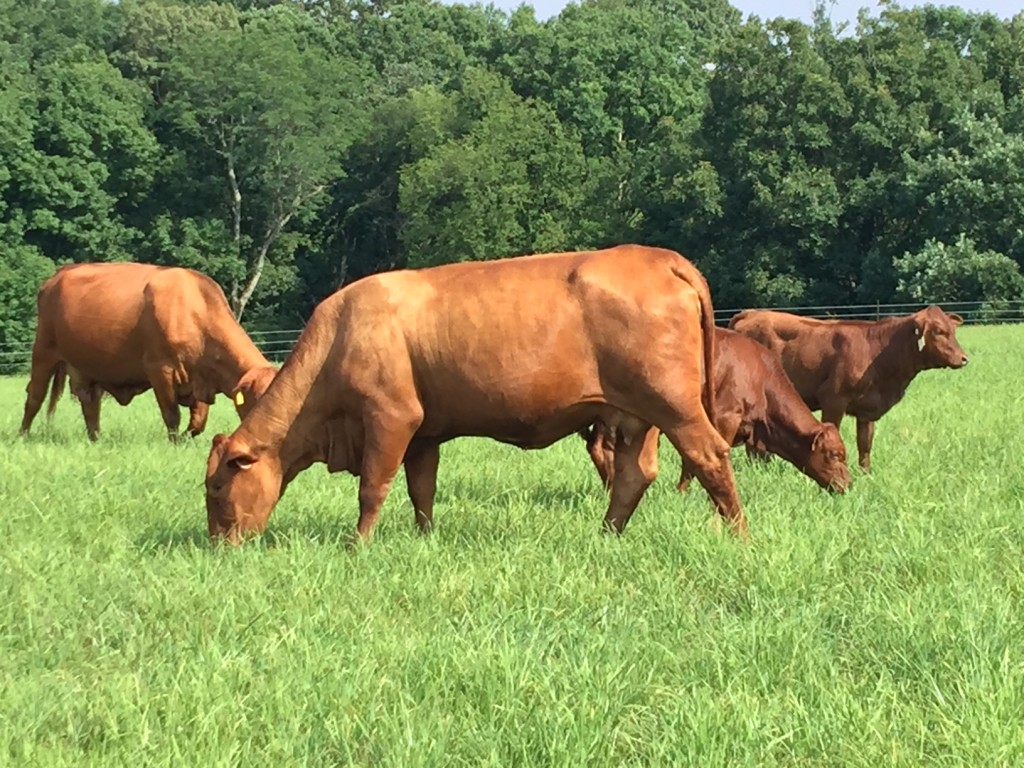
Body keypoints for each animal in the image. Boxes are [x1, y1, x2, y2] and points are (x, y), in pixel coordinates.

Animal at [23, 264, 278, 444]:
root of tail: (57, 275)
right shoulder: (160, 370)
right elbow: (172, 415)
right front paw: (175, 442)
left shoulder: (199, 377)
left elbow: (198, 423)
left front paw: (186, 439)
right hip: (44, 352)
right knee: (34, 397)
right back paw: (22, 436)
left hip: (86, 368)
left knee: (90, 405)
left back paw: (96, 439)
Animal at [203, 243, 745, 544]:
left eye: (216, 487)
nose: (217, 544)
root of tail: (659, 258)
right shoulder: (423, 432)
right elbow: (421, 488)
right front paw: (424, 537)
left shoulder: (390, 416)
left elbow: (373, 487)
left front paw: (357, 546)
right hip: (634, 414)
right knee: (636, 474)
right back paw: (605, 535)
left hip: (674, 405)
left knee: (710, 456)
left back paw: (740, 535)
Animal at [729, 305, 966, 473]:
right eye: (939, 331)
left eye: (953, 330)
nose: (964, 358)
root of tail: (751, 313)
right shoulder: (833, 400)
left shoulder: (867, 409)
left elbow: (865, 443)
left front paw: (866, 474)